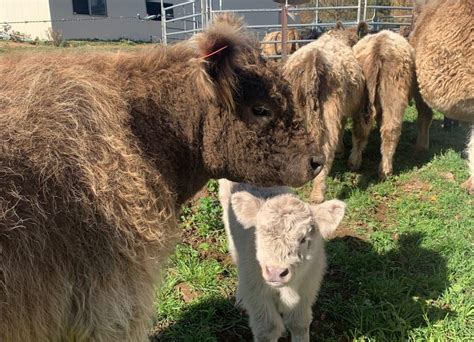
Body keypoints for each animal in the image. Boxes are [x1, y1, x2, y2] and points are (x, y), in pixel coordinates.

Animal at [218, 180, 344, 340]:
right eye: (260, 233)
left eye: (303, 239)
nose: (275, 272)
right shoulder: (257, 294)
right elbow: (267, 329)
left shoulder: (306, 289)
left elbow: (299, 323)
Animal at [348, 29, 414, 178]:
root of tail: (380, 46)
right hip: (394, 96)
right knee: (390, 130)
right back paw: (385, 170)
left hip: (365, 100)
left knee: (360, 129)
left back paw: (354, 162)